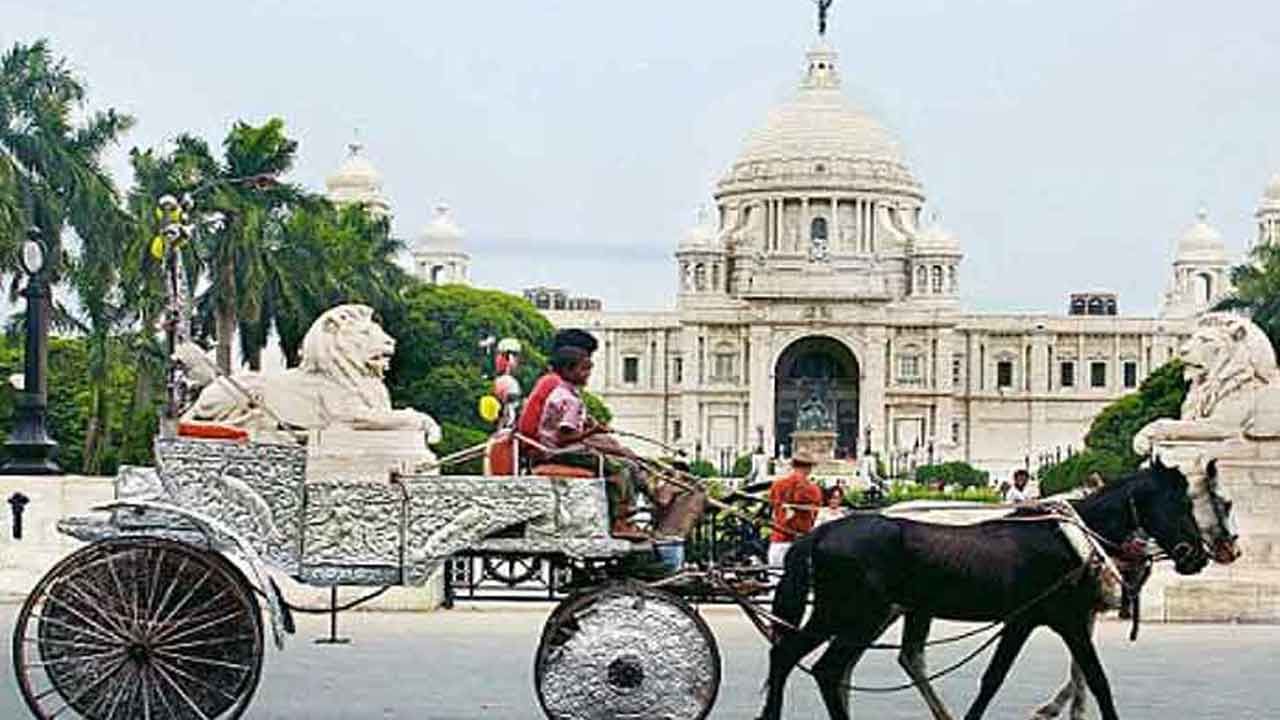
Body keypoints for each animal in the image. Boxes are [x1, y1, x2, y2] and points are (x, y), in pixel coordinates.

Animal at [757, 458, 1208, 717]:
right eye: (1182, 504)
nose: (1198, 557)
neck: (1069, 538)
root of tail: (819, 532)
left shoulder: (1024, 621)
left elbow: (993, 679)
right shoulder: (1067, 620)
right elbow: (1098, 681)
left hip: (850, 615)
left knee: (799, 661)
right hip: (853, 614)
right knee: (815, 665)